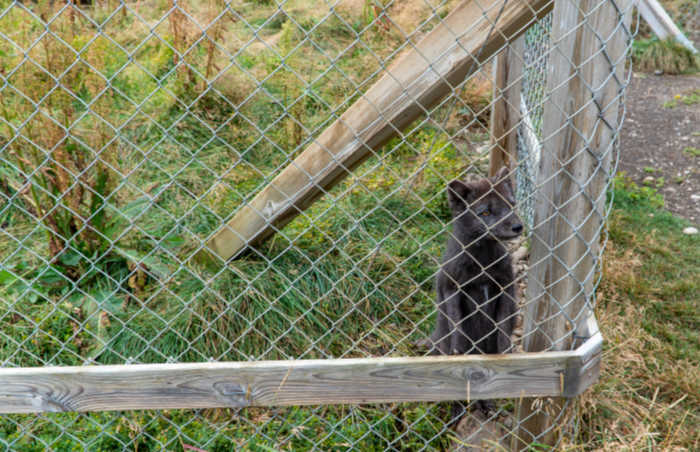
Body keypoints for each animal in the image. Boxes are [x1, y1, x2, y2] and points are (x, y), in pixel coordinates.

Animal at [430, 168, 524, 358]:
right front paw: (458, 352)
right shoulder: (451, 288)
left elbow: (503, 324)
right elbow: (456, 323)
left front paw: (505, 350)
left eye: (510, 205)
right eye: (485, 213)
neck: (482, 266)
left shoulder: (505, 286)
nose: (518, 227)